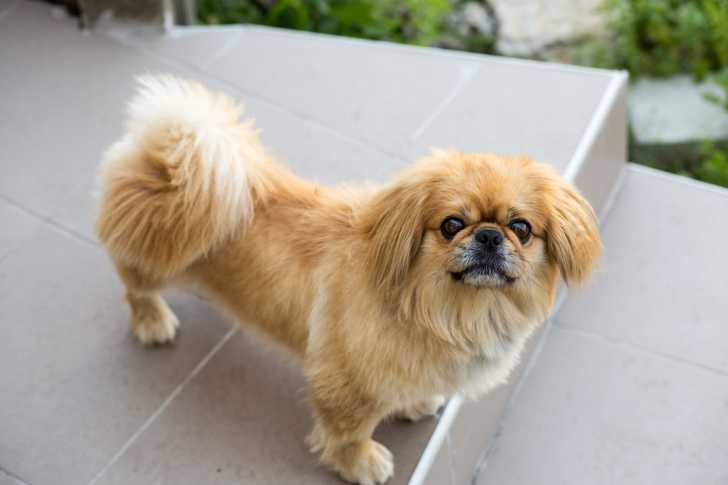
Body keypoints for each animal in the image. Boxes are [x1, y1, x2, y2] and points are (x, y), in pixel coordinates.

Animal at [96, 76, 600, 485]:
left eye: (522, 228)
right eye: (452, 224)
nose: (491, 235)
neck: (446, 311)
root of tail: (167, 150)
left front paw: (414, 404)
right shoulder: (347, 386)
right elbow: (349, 433)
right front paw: (361, 464)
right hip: (153, 261)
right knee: (135, 289)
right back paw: (153, 322)